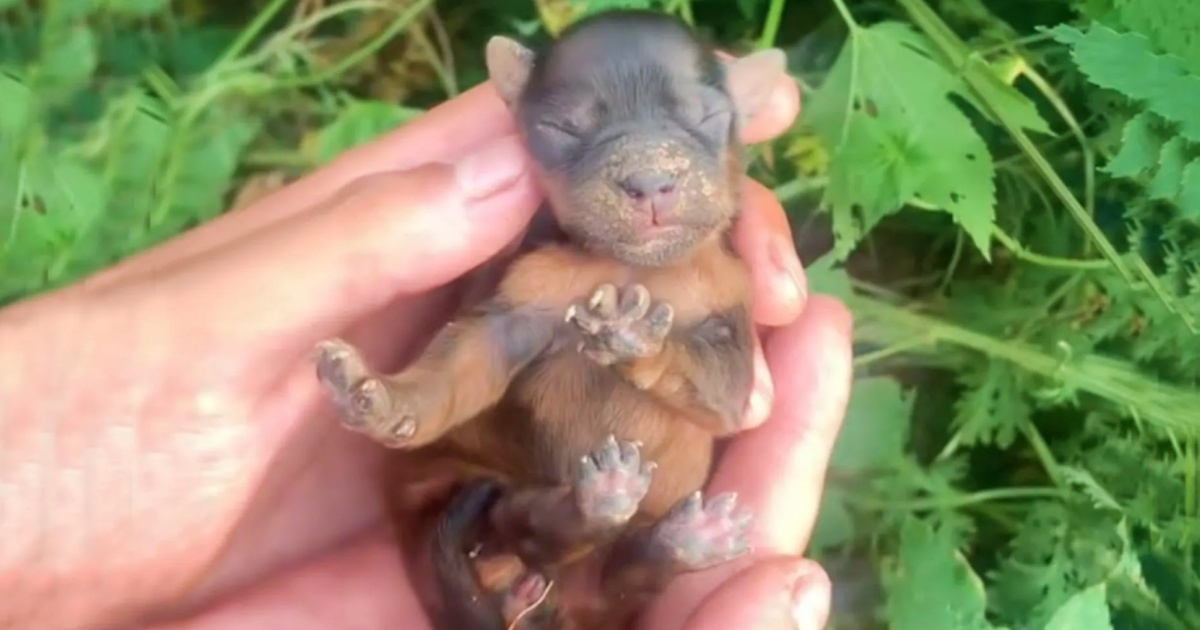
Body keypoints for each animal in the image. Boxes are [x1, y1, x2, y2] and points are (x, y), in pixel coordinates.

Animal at [309, 9, 787, 628]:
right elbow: (459, 362)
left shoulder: (730, 313)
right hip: (461, 494)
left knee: (620, 578)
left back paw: (681, 540)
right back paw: (598, 505)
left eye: (705, 117)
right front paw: (379, 397)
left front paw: (635, 336)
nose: (649, 182)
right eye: (564, 127)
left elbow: (720, 385)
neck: (632, 268)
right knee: (520, 523)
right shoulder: (521, 297)